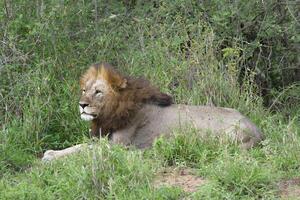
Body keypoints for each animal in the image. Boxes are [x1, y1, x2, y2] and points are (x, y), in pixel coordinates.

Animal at [41, 63, 262, 162]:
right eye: (84, 90)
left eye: (98, 92)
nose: (82, 105)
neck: (112, 112)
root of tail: (258, 132)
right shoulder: (104, 139)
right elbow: (80, 145)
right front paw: (52, 152)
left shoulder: (118, 147)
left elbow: (84, 149)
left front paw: (50, 155)